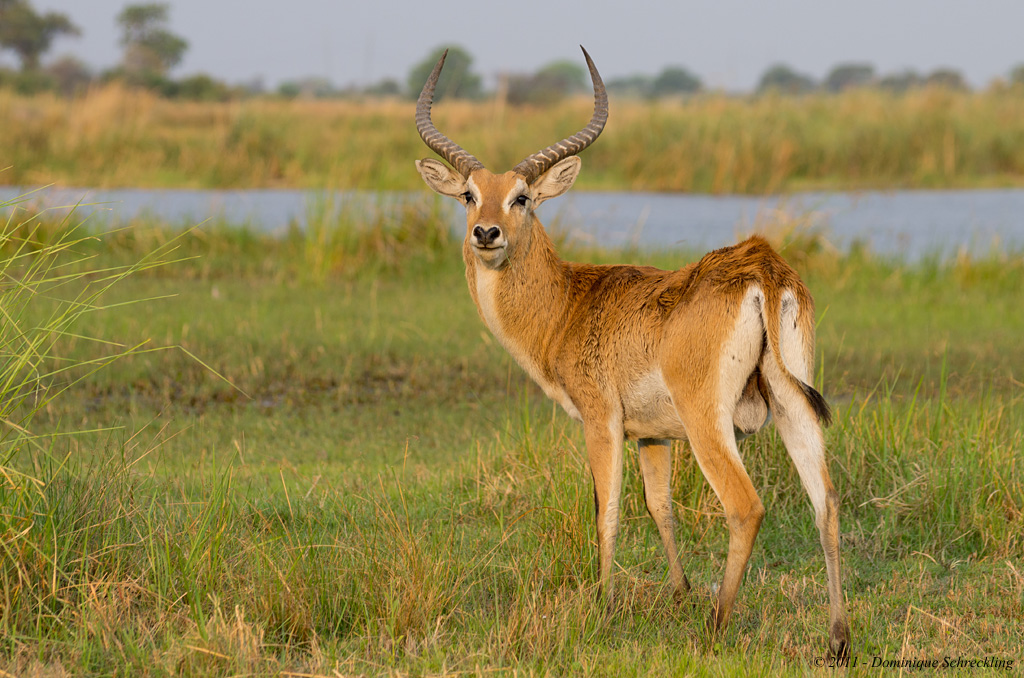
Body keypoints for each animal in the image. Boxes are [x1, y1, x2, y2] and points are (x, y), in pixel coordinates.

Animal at [411, 43, 851, 659]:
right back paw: (837, 639)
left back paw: (716, 627)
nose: (487, 233)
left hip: (709, 421)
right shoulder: (652, 435)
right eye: (469, 194)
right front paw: (679, 592)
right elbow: (659, 507)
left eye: (523, 197)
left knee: (745, 506)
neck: (569, 304)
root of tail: (761, 264)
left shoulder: (602, 421)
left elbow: (608, 509)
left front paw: (604, 604)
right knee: (825, 502)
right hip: (793, 408)